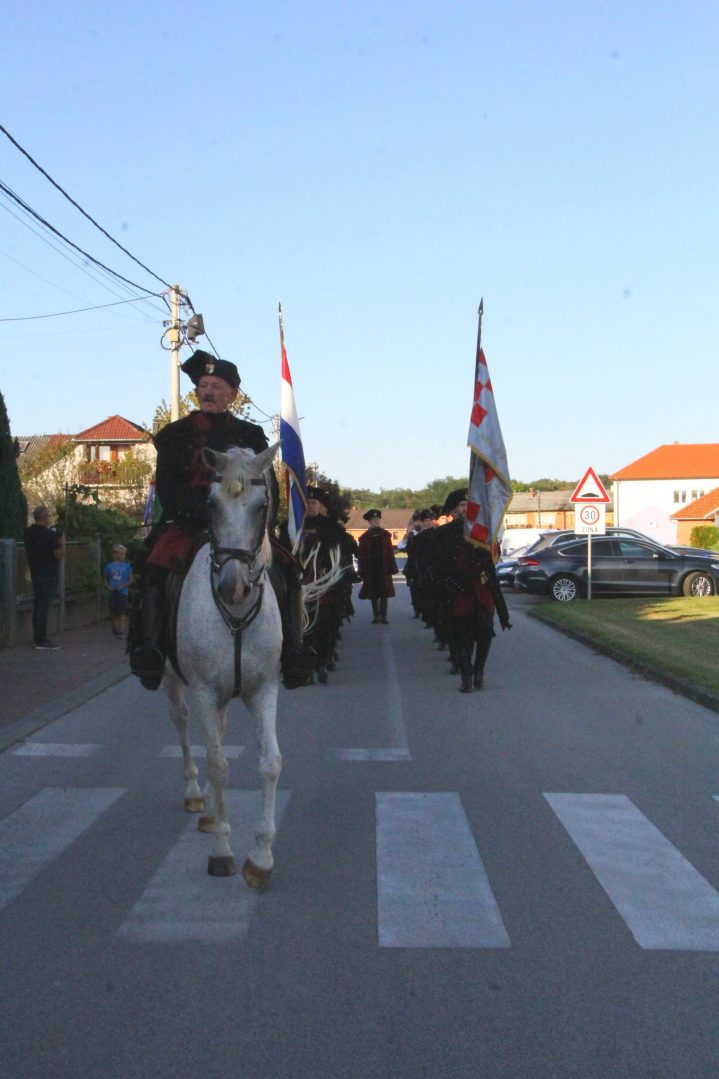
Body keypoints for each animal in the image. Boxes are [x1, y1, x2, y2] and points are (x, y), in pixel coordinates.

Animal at [162, 443, 283, 888]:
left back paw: (214, 812)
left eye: (262, 504)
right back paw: (198, 798)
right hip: (175, 682)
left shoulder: (263, 689)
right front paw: (223, 852)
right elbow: (217, 765)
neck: (234, 614)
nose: (233, 586)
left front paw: (261, 857)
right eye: (210, 504)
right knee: (184, 727)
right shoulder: (202, 689)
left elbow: (270, 763)